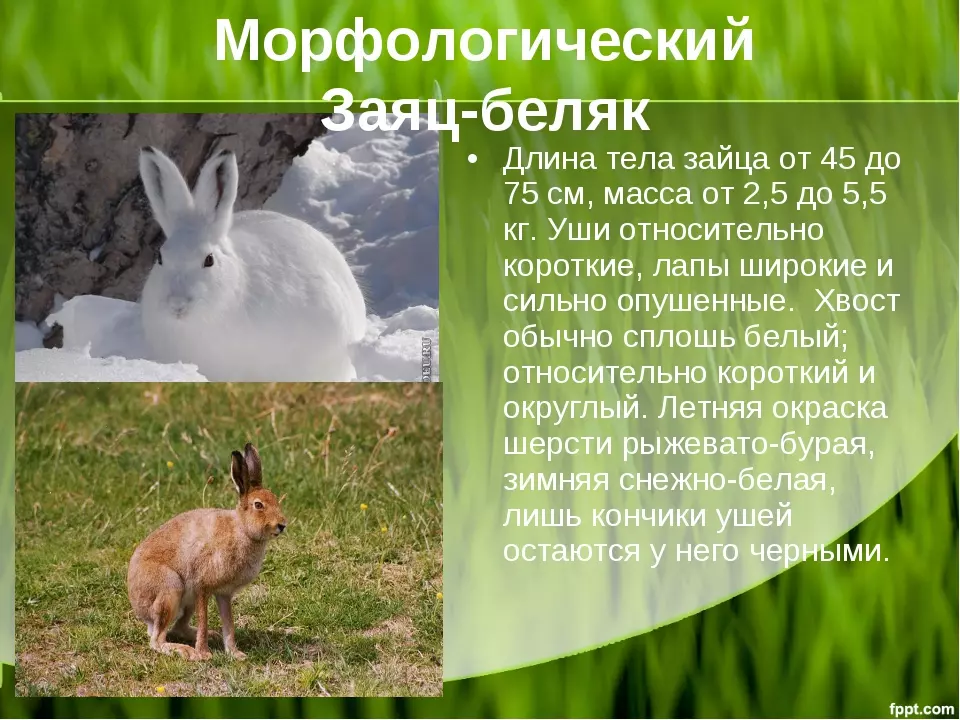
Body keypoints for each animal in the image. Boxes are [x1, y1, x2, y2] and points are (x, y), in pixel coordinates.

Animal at [127, 443, 286, 661]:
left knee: (177, 628)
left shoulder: (224, 593)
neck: (242, 529)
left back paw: (211, 635)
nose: (282, 525)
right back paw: (186, 651)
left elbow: (229, 625)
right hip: (171, 589)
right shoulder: (202, 587)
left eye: (276, 500)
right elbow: (204, 620)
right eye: (258, 505)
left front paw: (236, 654)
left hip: (187, 601)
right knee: (157, 639)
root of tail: (138, 607)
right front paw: (204, 654)